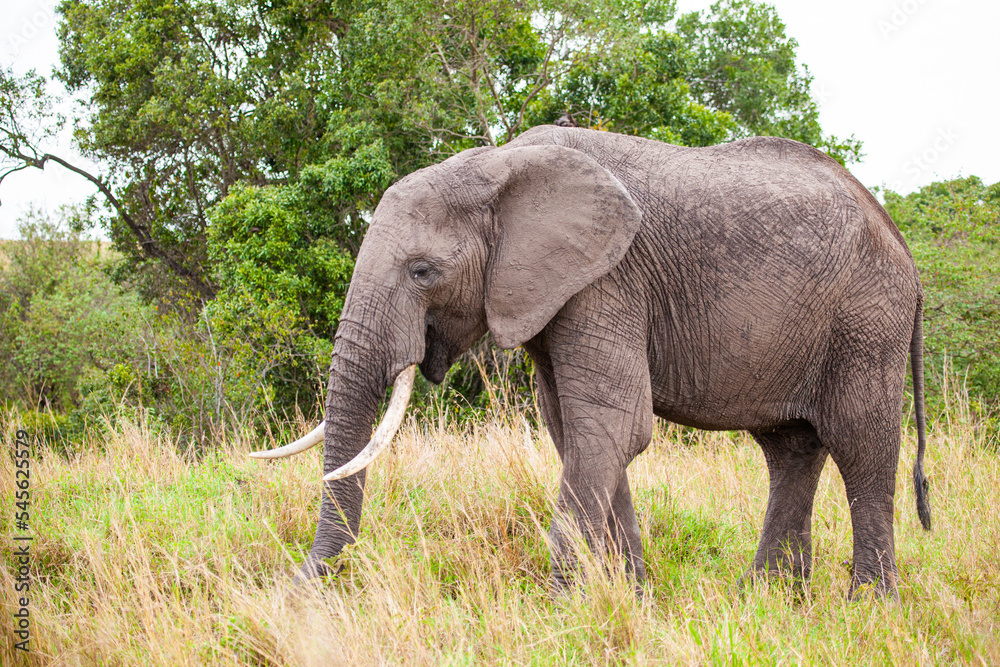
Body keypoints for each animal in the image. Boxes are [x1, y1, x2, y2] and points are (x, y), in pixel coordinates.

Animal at [250, 125, 928, 600]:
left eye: (422, 271)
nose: (293, 594)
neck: (497, 164)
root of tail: (898, 237)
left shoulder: (609, 279)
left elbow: (612, 425)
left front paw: (559, 613)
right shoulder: (557, 292)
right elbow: (579, 432)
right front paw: (633, 601)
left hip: (868, 319)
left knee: (861, 448)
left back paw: (868, 609)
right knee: (790, 450)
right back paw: (767, 602)